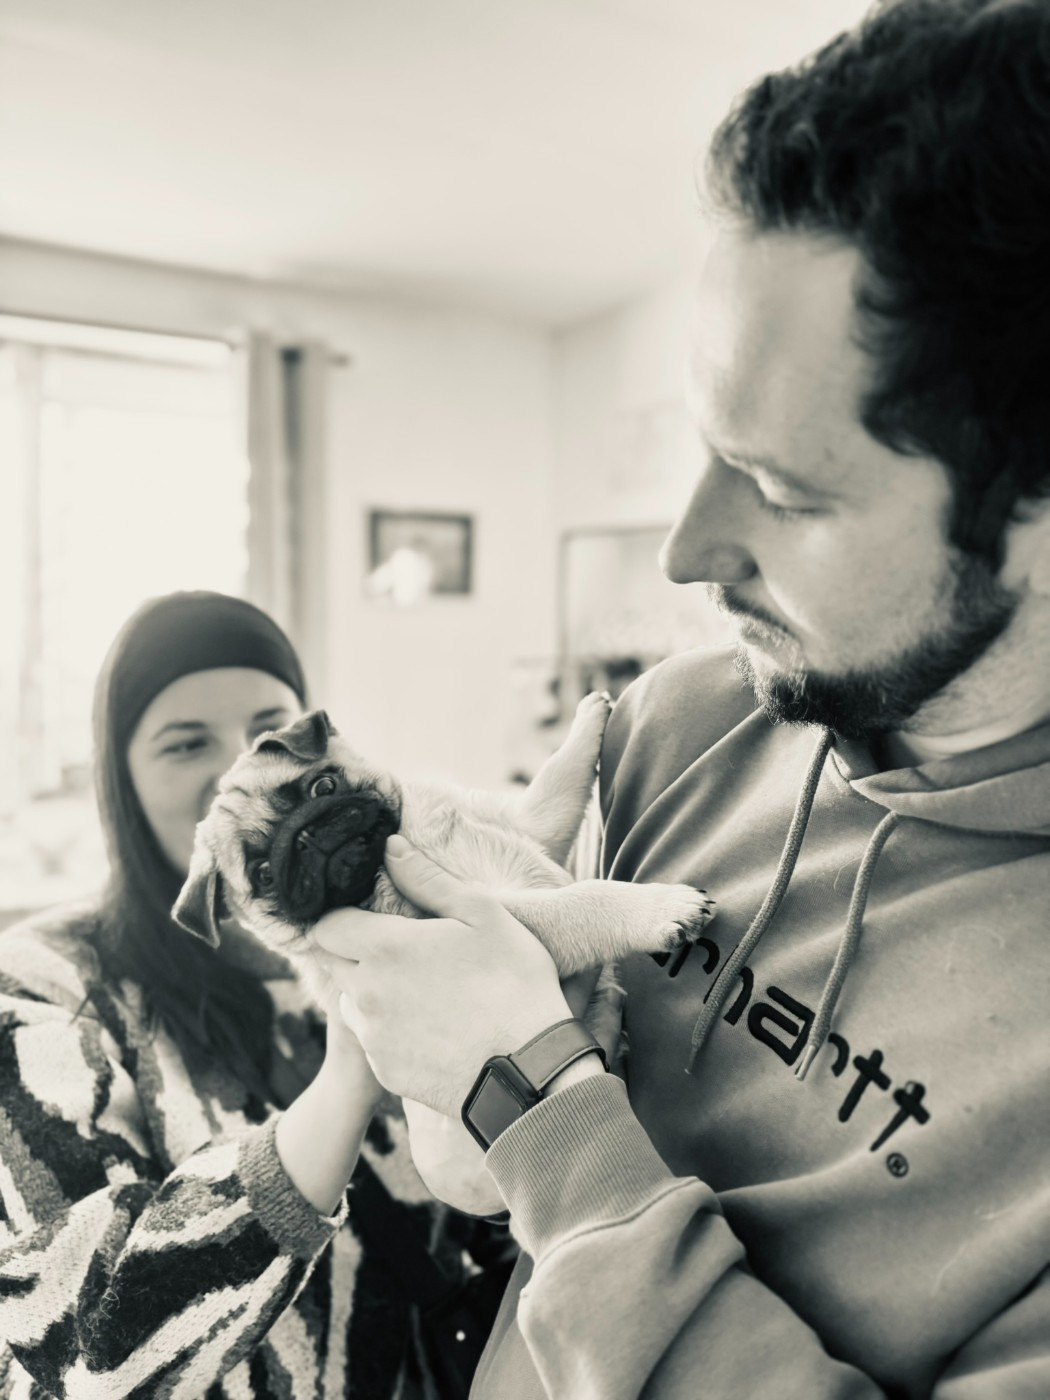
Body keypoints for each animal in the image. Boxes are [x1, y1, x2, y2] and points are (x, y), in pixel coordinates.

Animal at [173, 692, 714, 1211]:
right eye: (263, 874)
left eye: (322, 787)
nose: (307, 836)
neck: (406, 843)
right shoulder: (506, 919)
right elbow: (579, 902)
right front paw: (657, 909)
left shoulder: (530, 824)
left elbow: (557, 780)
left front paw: (587, 716)